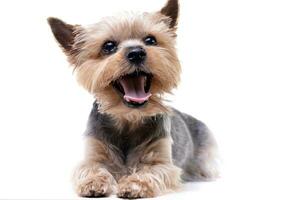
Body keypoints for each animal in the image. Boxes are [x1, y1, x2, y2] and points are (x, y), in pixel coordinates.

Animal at [48, 0, 219, 198]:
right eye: (108, 46)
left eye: (151, 40)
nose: (136, 52)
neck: (128, 119)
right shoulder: (94, 151)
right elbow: (91, 167)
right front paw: (94, 181)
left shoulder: (162, 161)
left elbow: (151, 172)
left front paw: (134, 184)